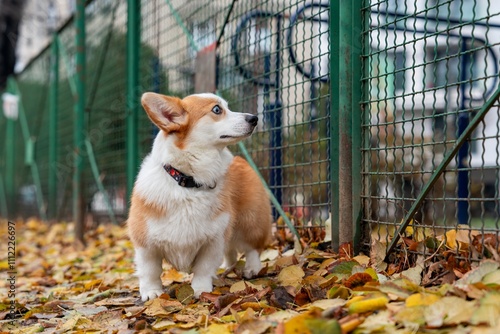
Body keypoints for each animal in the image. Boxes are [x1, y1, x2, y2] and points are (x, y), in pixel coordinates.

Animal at [127, 91, 272, 300]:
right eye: (217, 109)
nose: (254, 118)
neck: (188, 182)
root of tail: (241, 160)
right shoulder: (146, 244)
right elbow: (150, 271)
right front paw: (152, 292)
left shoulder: (213, 240)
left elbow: (203, 269)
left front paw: (201, 290)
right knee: (231, 252)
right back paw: (228, 268)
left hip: (250, 220)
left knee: (252, 248)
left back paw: (252, 269)